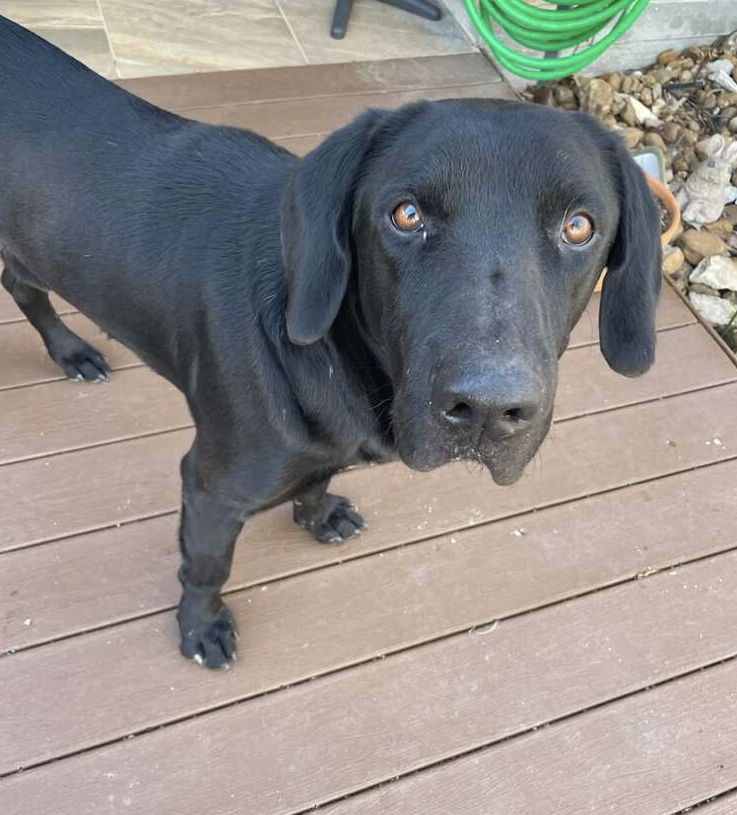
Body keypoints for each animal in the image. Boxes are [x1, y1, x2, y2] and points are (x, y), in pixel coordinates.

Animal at [0, 17, 664, 668]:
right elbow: (207, 568)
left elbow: (316, 481)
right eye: (406, 215)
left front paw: (318, 514)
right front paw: (200, 626)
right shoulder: (211, 488)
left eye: (578, 227)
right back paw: (72, 352)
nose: (488, 409)